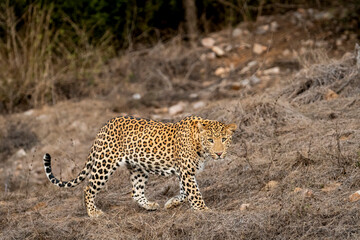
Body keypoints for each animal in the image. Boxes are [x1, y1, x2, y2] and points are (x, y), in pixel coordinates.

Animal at [43, 115, 236, 217]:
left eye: (224, 139)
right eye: (210, 140)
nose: (219, 153)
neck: (199, 145)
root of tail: (104, 127)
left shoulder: (185, 173)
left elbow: (184, 192)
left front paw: (170, 203)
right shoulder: (187, 172)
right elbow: (194, 193)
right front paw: (204, 210)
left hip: (138, 168)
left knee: (136, 192)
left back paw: (150, 205)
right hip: (105, 164)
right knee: (88, 188)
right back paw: (93, 213)